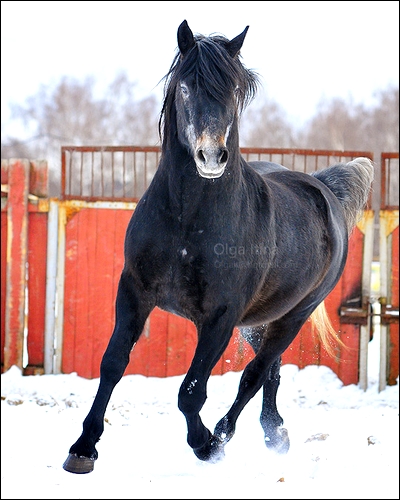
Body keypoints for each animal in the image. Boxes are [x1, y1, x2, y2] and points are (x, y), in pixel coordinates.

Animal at [61, 19, 372, 472]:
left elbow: (191, 392)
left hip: (292, 316)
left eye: (234, 89)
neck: (187, 221)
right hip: (258, 321)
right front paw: (83, 448)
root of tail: (324, 189)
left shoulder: (220, 317)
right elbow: (113, 363)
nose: (211, 156)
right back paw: (275, 433)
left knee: (254, 375)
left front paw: (205, 444)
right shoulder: (134, 290)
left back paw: (226, 436)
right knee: (271, 372)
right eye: (185, 87)